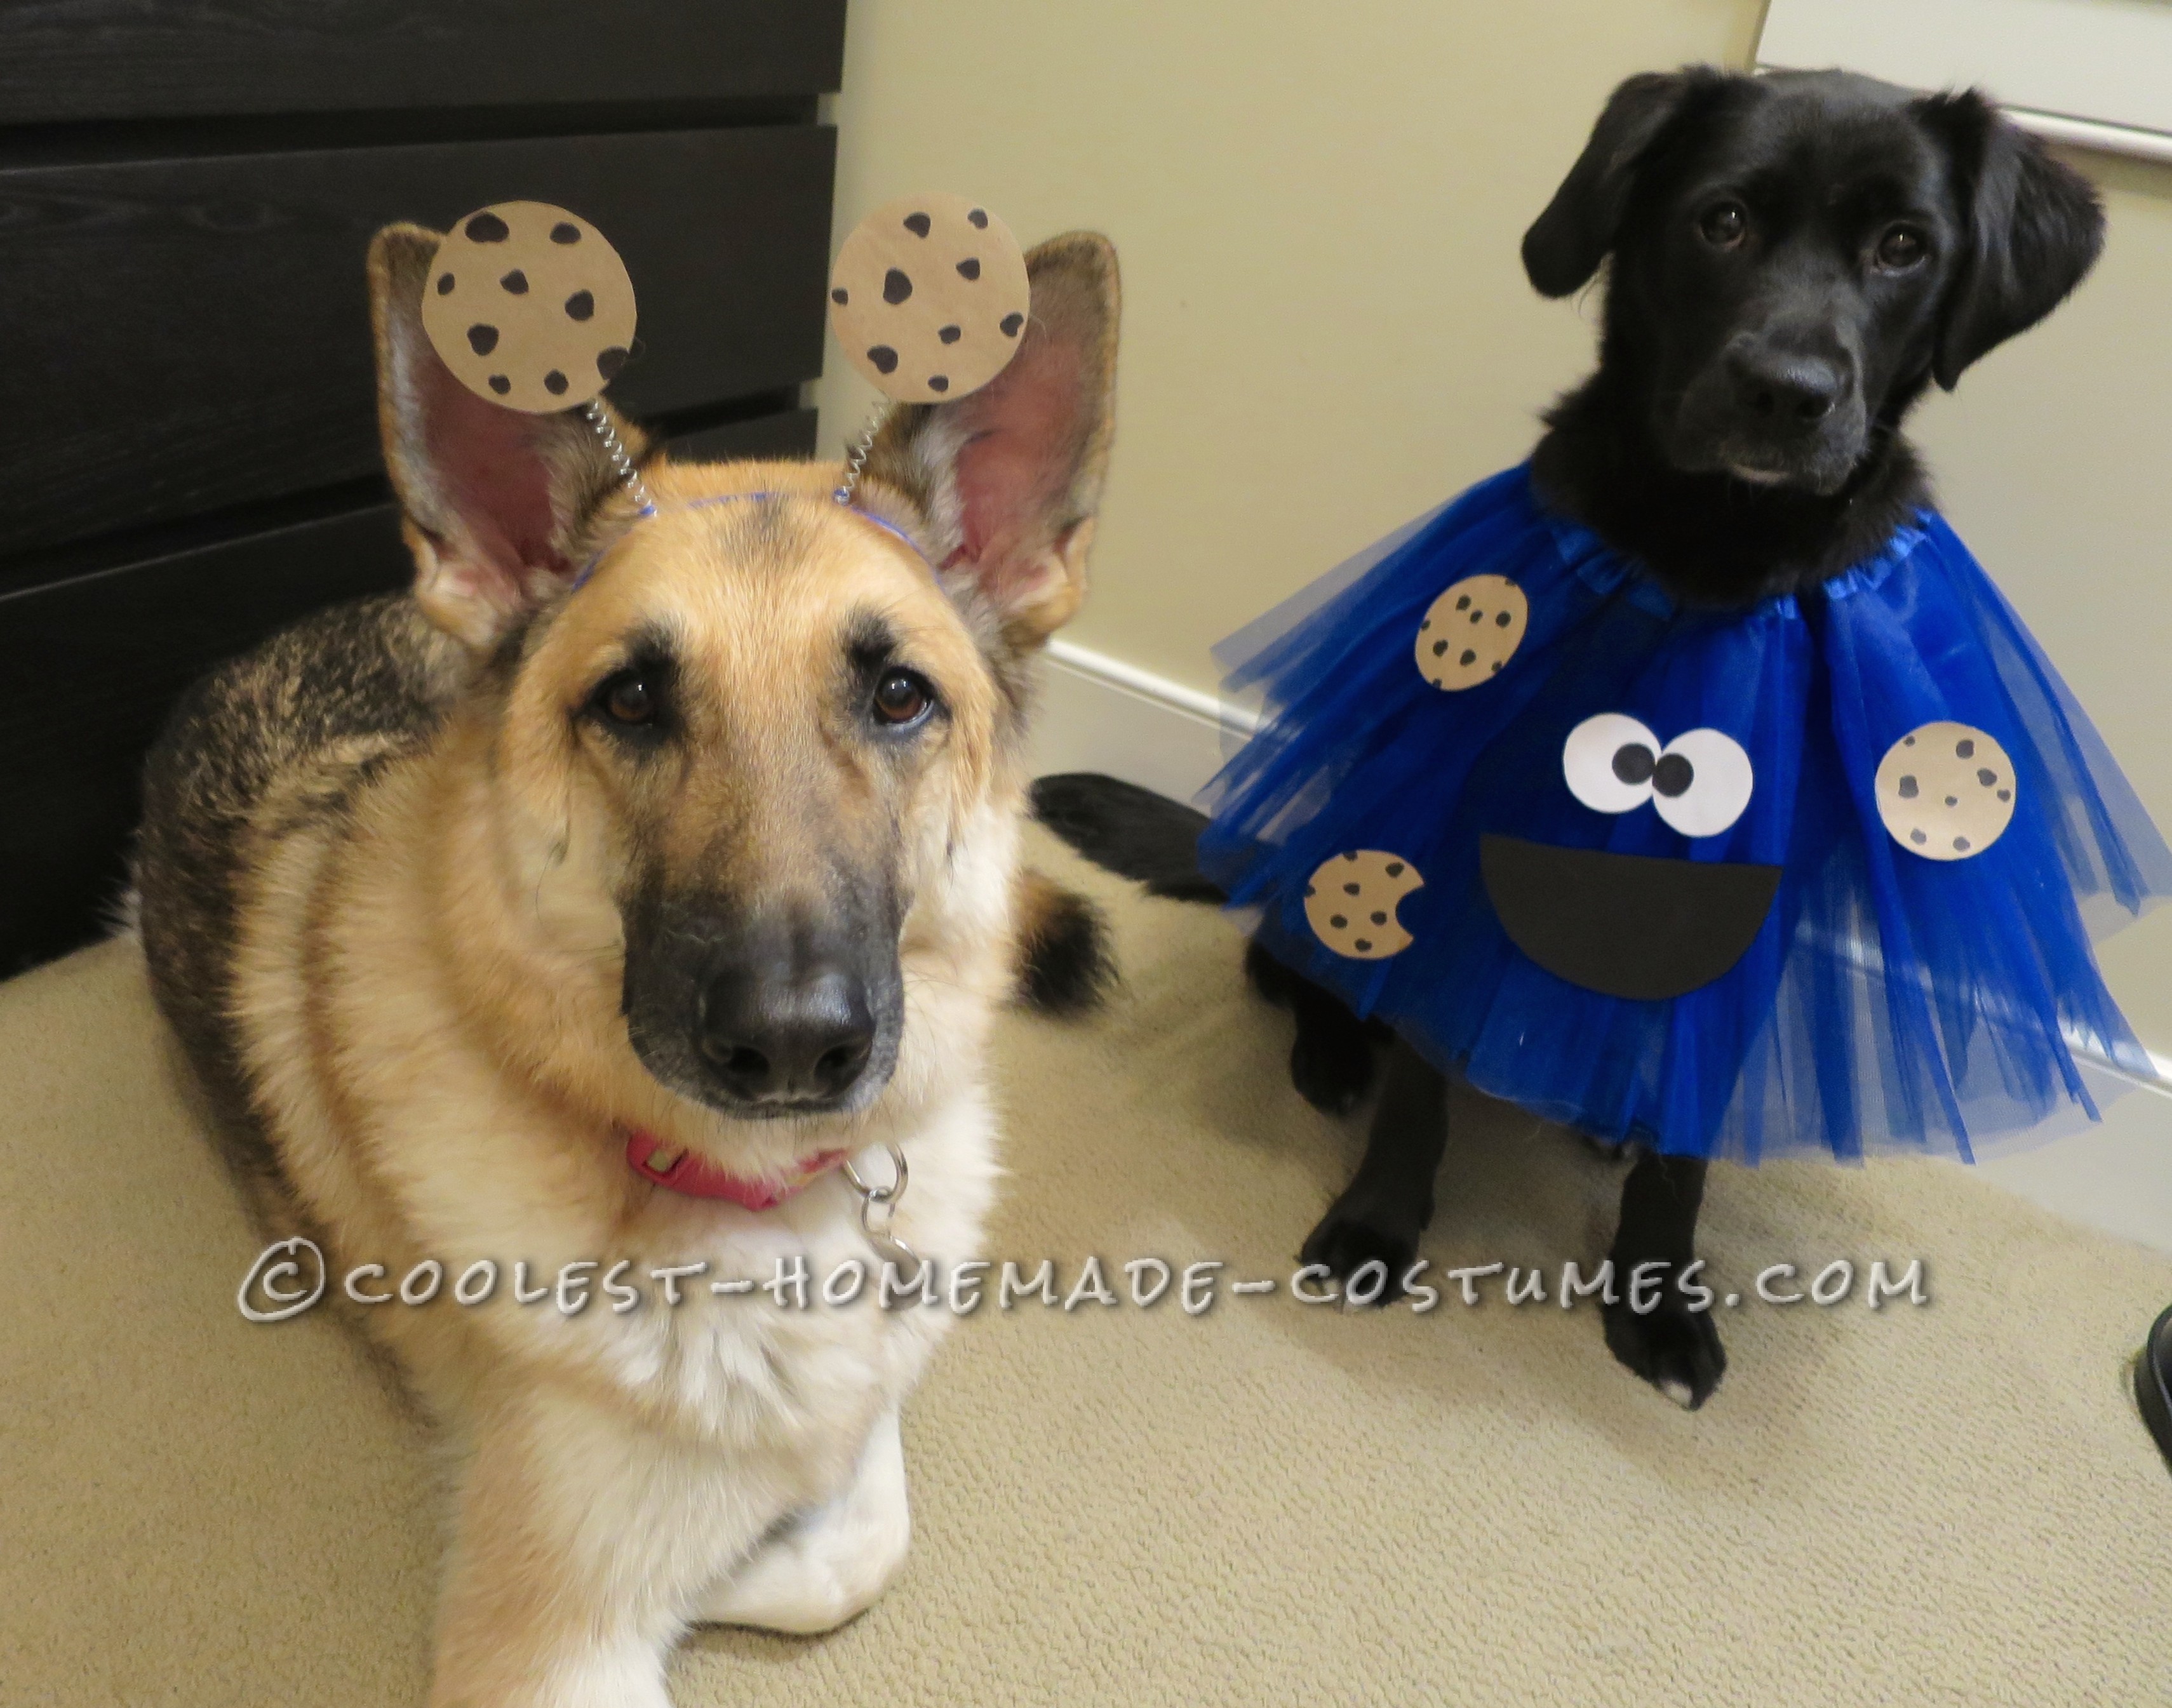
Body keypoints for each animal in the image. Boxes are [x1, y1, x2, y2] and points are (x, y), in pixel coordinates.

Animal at [135, 220, 1120, 1701]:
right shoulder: (548, 1651)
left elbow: (862, 1521)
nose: (793, 1043)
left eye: (899, 697)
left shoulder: (874, 1377)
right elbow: (769, 1536)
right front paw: (721, 1557)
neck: (767, 1195)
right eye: (634, 700)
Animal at [1033, 63, 2102, 1406]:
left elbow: (1685, 1155)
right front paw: (1378, 1224)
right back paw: (1333, 1057)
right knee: (1303, 971)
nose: (1787, 394)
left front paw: (1660, 1300)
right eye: (1720, 221)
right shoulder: (1463, 837)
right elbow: (1422, 1096)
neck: (1708, 558)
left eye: (1904, 247)